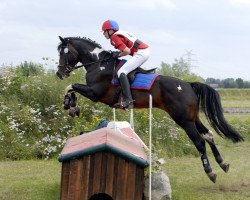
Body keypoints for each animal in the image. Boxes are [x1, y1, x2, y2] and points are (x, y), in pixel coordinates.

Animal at [55, 36, 243, 183]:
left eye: (64, 53)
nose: (59, 74)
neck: (99, 64)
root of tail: (188, 85)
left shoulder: (95, 93)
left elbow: (70, 86)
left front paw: (69, 105)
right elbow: (70, 87)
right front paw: (71, 107)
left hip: (183, 119)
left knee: (199, 141)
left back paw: (210, 172)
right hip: (192, 117)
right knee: (208, 135)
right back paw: (222, 163)